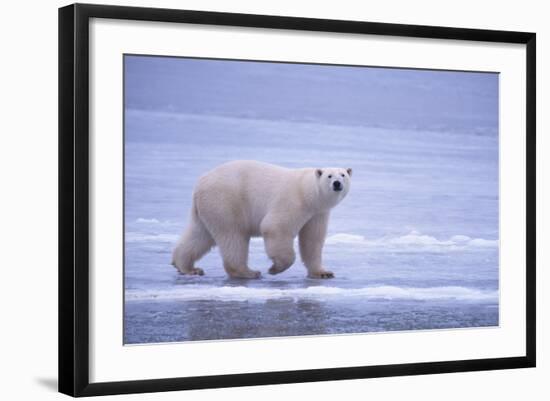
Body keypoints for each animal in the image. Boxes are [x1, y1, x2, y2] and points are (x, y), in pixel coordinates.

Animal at [171, 159, 354, 278]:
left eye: (343, 175)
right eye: (329, 176)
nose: (337, 184)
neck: (308, 191)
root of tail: (200, 184)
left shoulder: (317, 213)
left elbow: (312, 241)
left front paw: (323, 272)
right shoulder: (293, 201)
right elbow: (274, 227)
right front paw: (275, 268)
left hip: (208, 208)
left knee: (199, 235)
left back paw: (187, 267)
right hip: (226, 201)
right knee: (233, 236)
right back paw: (247, 272)